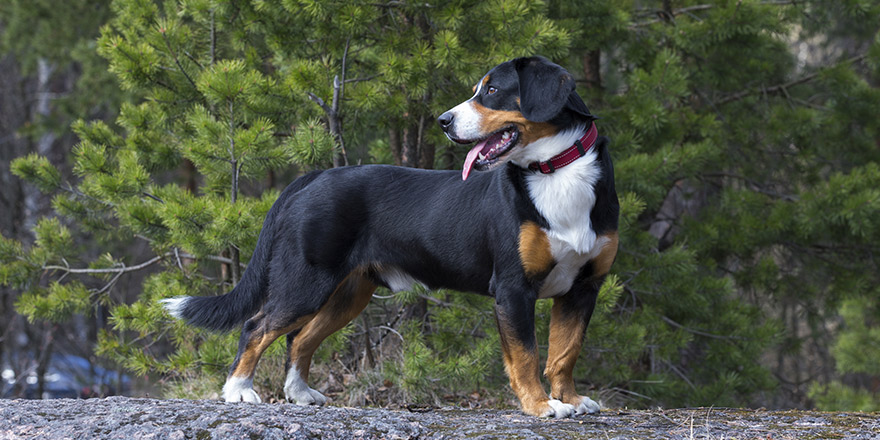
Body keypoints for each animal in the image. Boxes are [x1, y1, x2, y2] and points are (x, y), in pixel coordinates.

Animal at [165, 56, 620, 418]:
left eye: (492, 90)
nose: (443, 121)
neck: (556, 171)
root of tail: (316, 176)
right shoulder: (512, 288)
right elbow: (526, 356)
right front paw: (541, 405)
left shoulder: (583, 288)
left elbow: (565, 352)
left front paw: (571, 399)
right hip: (304, 282)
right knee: (257, 326)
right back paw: (238, 391)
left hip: (348, 293)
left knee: (300, 338)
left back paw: (300, 393)